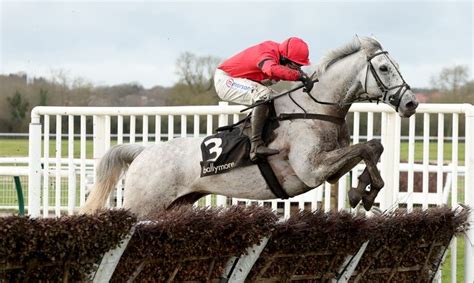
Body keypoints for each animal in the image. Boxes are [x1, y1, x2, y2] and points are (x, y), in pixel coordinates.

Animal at [81, 36, 418, 220]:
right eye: (384, 68)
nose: (411, 103)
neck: (317, 108)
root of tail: (143, 153)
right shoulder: (312, 170)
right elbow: (366, 148)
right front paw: (364, 193)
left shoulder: (329, 169)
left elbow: (373, 147)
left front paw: (364, 191)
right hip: (142, 204)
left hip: (174, 207)